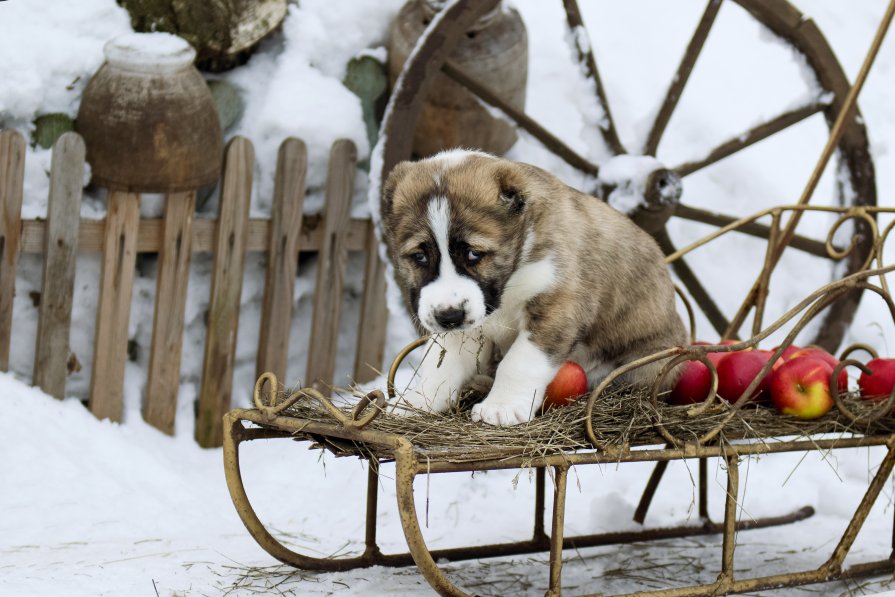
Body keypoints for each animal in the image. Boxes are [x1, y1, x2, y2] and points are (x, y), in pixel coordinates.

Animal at [380, 151, 688, 426]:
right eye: (419, 256)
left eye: (474, 254)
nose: (449, 317)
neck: (511, 276)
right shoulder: (466, 326)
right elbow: (440, 363)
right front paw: (418, 401)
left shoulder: (557, 305)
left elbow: (520, 361)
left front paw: (501, 407)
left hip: (648, 363)